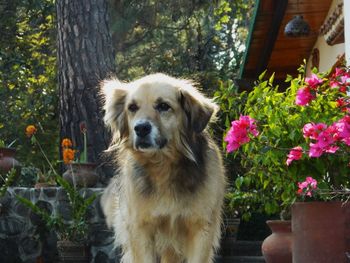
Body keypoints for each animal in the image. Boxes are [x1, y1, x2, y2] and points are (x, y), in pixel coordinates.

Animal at [100, 72, 227, 263]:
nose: (141, 128)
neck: (163, 166)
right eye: (132, 107)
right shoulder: (141, 228)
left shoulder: (201, 228)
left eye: (163, 106)